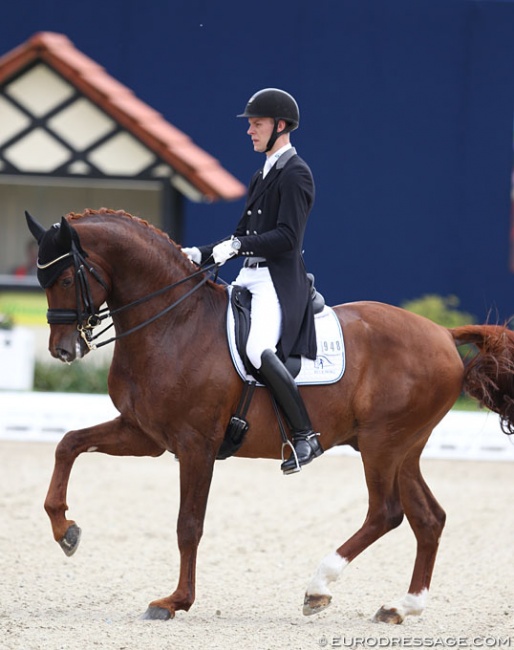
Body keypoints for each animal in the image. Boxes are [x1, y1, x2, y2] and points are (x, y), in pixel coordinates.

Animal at [25, 208, 514, 624]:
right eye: (41, 277)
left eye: (65, 276)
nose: (63, 350)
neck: (173, 322)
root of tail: (443, 333)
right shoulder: (144, 435)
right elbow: (68, 443)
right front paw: (65, 530)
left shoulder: (196, 445)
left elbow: (188, 525)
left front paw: (175, 601)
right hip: (403, 449)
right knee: (428, 519)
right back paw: (401, 607)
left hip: (382, 444)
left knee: (386, 512)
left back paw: (319, 587)